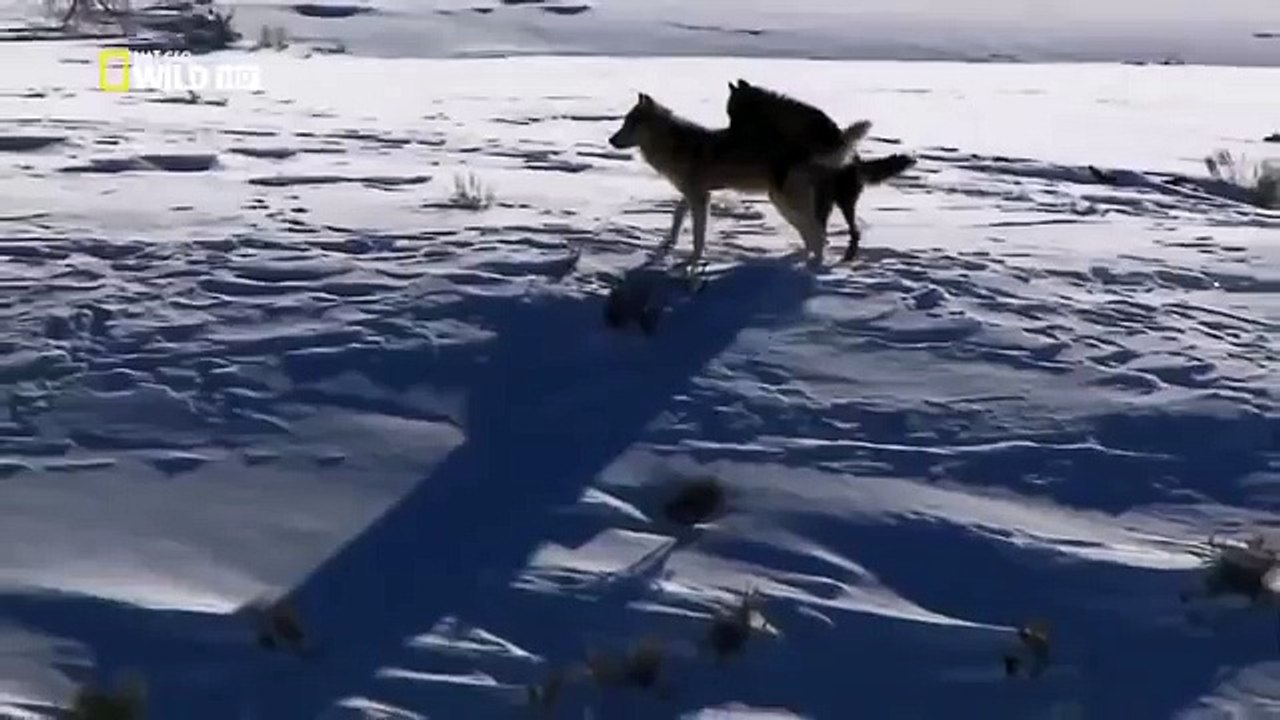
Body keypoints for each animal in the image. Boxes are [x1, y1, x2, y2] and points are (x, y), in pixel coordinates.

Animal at [607, 92, 868, 268]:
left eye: (630, 124)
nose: (611, 140)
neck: (673, 146)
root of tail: (803, 151)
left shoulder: (700, 197)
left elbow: (698, 236)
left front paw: (692, 261)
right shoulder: (692, 194)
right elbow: (677, 215)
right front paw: (667, 243)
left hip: (787, 202)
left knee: (818, 234)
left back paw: (813, 267)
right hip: (783, 204)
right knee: (812, 235)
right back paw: (801, 260)